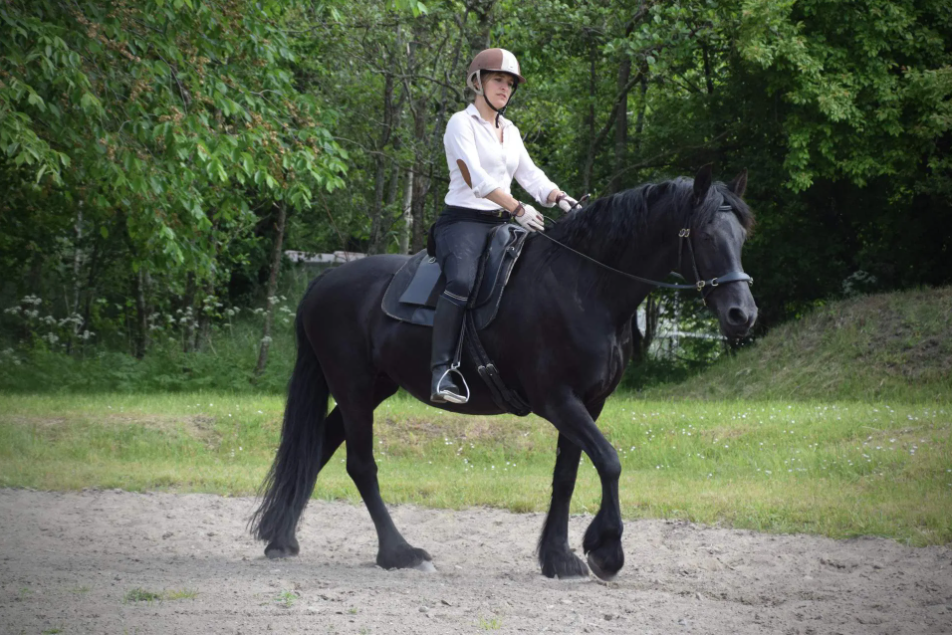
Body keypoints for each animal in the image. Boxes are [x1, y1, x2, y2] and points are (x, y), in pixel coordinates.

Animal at [251, 168, 760, 580]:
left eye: (741, 236)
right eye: (707, 236)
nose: (743, 315)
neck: (584, 286)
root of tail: (323, 281)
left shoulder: (588, 403)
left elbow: (567, 475)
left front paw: (558, 558)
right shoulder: (558, 401)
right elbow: (609, 461)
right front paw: (605, 551)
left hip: (370, 388)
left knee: (320, 445)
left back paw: (281, 539)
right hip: (354, 388)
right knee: (360, 465)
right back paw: (399, 553)